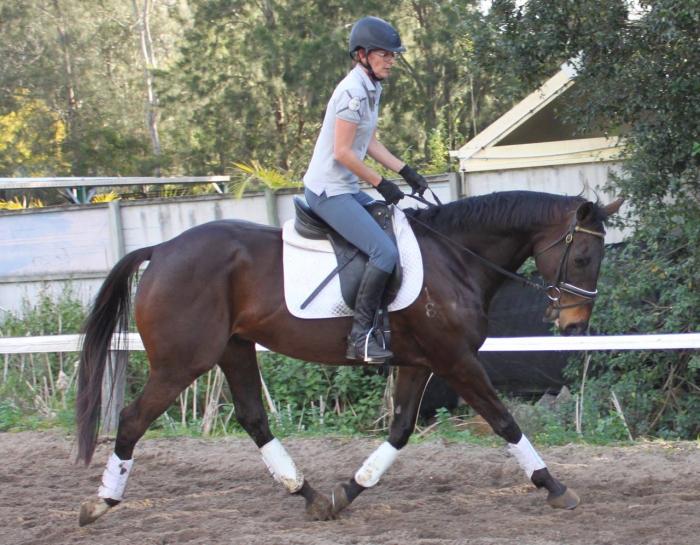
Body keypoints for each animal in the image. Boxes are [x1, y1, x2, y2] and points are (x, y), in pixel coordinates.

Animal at [76, 190, 623, 526]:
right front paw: (554, 486)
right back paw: (101, 503)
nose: (575, 327)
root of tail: (163, 249)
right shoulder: (454, 359)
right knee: (132, 418)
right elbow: (505, 421)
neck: (455, 258)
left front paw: (348, 491)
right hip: (183, 361)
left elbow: (400, 430)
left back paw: (313, 497)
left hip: (233, 349)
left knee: (253, 418)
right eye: (582, 258)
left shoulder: (420, 362)